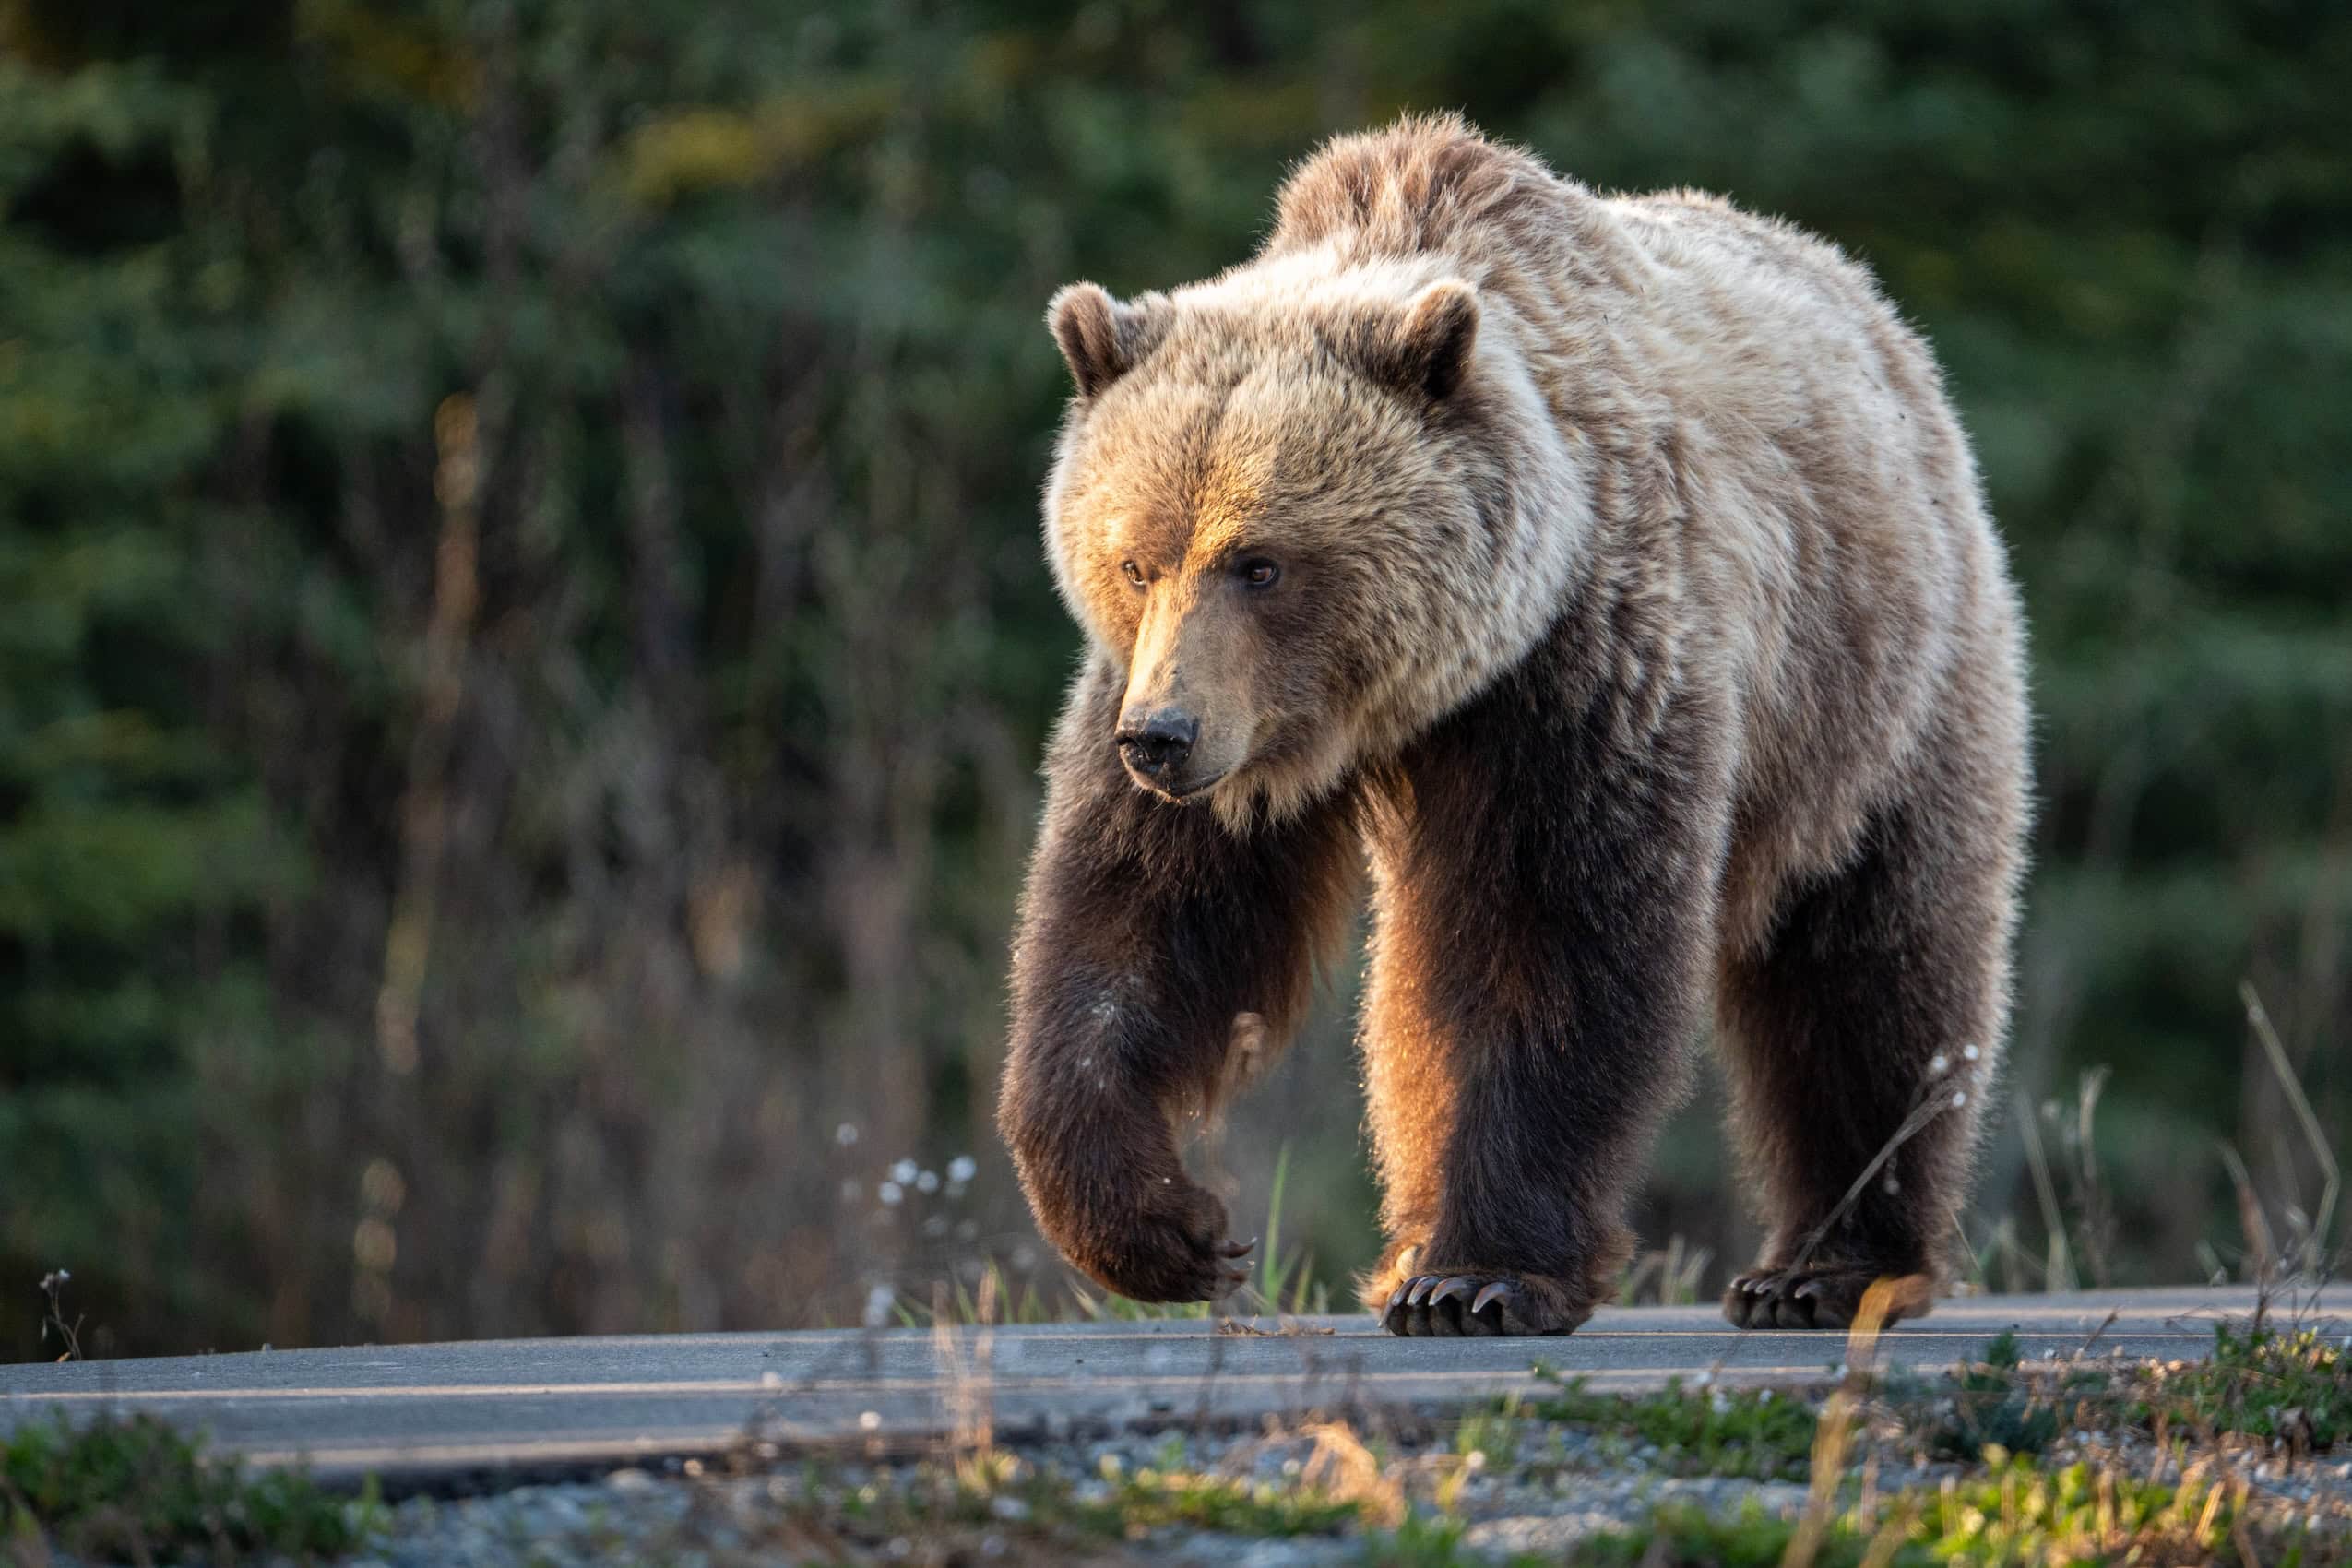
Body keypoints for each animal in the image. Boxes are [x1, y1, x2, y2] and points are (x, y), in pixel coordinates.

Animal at [995, 114, 2029, 1337]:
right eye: (1134, 559)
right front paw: (1168, 1226)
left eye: (1262, 562)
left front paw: (1479, 1274)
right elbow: (1138, 927)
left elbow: (1550, 943)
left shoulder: (1586, 664)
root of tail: (1875, 309)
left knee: (1871, 960)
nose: (1161, 735)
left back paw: (1827, 1266)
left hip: (1878, 685)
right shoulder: (1198, 723)